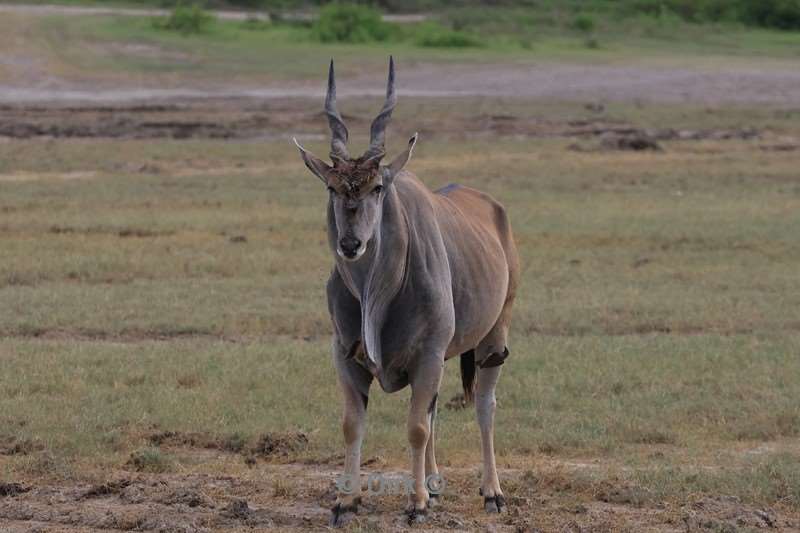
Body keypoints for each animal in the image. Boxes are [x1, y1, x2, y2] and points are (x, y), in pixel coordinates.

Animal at [294, 57, 520, 524]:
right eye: (332, 187)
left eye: (377, 187)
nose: (350, 244)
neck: (379, 294)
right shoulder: (346, 355)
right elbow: (354, 424)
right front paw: (346, 501)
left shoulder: (429, 354)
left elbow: (416, 427)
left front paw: (415, 504)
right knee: (434, 412)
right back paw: (434, 486)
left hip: (495, 335)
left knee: (483, 405)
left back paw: (492, 492)